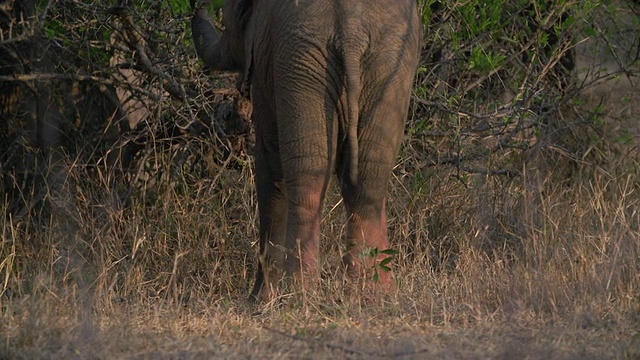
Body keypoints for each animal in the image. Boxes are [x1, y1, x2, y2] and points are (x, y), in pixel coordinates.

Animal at [192, 0, 422, 298]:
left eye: (230, 16)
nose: (198, 7)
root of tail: (350, 34)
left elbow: (270, 160)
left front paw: (259, 300)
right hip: (388, 63)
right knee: (369, 176)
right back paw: (375, 294)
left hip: (301, 61)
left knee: (307, 175)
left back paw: (299, 293)